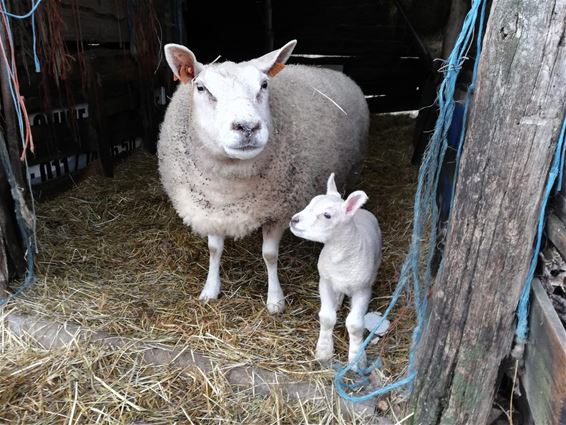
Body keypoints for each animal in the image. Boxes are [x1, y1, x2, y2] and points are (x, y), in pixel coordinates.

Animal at [159, 39, 372, 312]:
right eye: (201, 87)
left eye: (264, 85)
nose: (247, 127)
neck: (228, 187)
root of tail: (337, 72)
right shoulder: (211, 211)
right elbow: (214, 250)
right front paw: (210, 289)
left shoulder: (278, 212)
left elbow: (269, 256)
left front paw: (275, 299)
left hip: (354, 166)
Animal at [290, 173, 384, 368]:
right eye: (311, 203)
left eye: (327, 215)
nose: (294, 220)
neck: (340, 256)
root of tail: (362, 211)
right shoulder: (325, 281)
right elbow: (327, 317)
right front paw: (324, 352)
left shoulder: (362, 289)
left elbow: (355, 325)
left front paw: (357, 359)